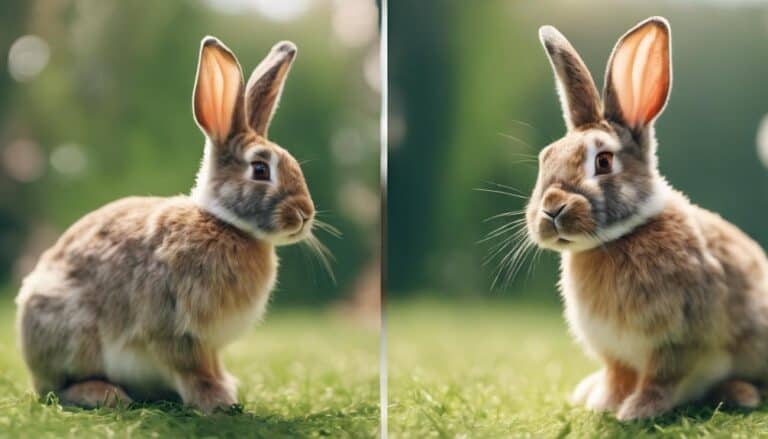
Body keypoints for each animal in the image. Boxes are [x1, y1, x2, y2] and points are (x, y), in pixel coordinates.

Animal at [15, 36, 317, 414]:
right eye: (260, 170)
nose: (305, 214)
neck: (224, 224)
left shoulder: (210, 345)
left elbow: (212, 366)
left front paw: (227, 390)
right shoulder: (176, 330)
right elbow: (192, 369)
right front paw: (216, 401)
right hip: (73, 334)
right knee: (59, 389)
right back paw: (104, 394)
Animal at [525, 16, 768, 420]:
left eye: (603, 161)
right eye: (546, 158)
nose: (552, 208)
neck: (616, 240)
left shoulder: (678, 342)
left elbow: (661, 380)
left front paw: (636, 411)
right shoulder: (615, 351)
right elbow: (618, 376)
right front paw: (604, 403)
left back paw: (740, 393)